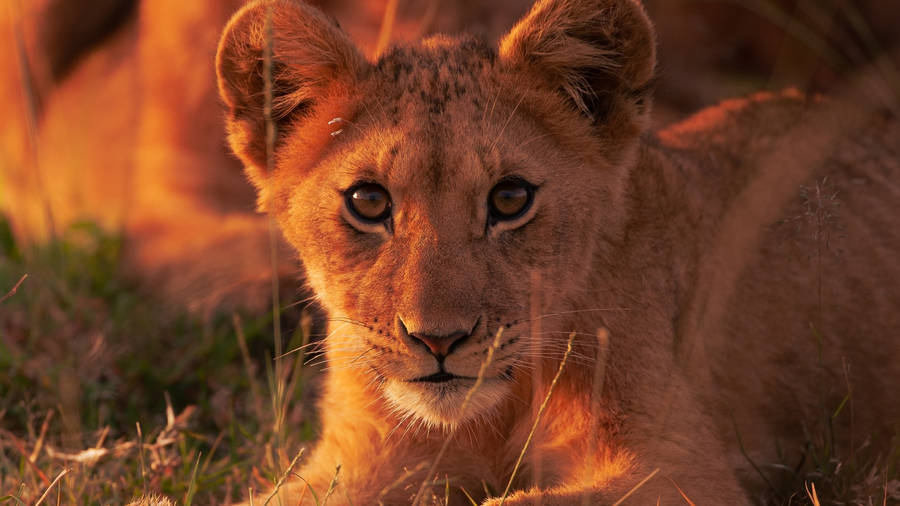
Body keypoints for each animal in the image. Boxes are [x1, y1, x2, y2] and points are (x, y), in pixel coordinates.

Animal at [215, 0, 900, 503]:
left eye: (510, 198)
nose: (439, 341)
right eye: (368, 201)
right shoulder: (359, 457)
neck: (493, 416)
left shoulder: (685, 468)